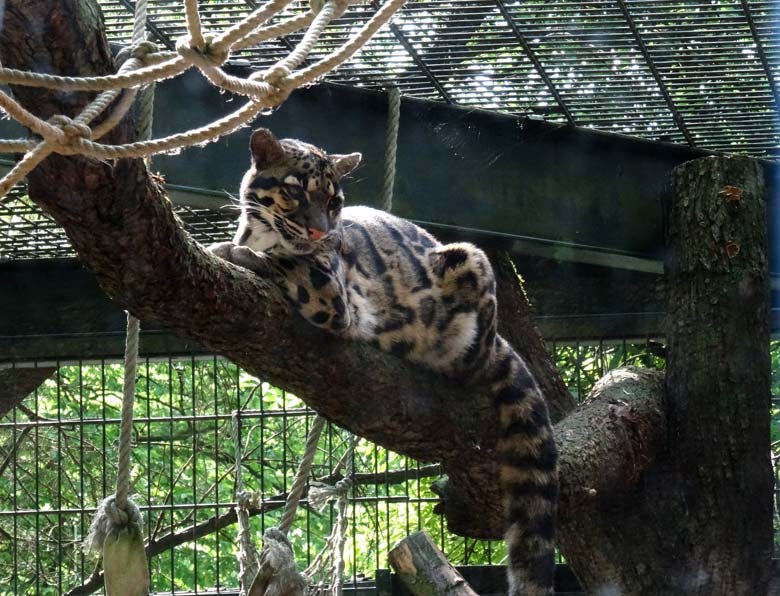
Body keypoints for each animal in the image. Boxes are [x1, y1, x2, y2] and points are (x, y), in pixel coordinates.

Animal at [210, 128, 556, 592]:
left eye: (334, 202)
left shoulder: (331, 292)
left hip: (471, 261)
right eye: (295, 191)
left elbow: (282, 261)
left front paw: (229, 250)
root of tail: (498, 337)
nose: (320, 232)